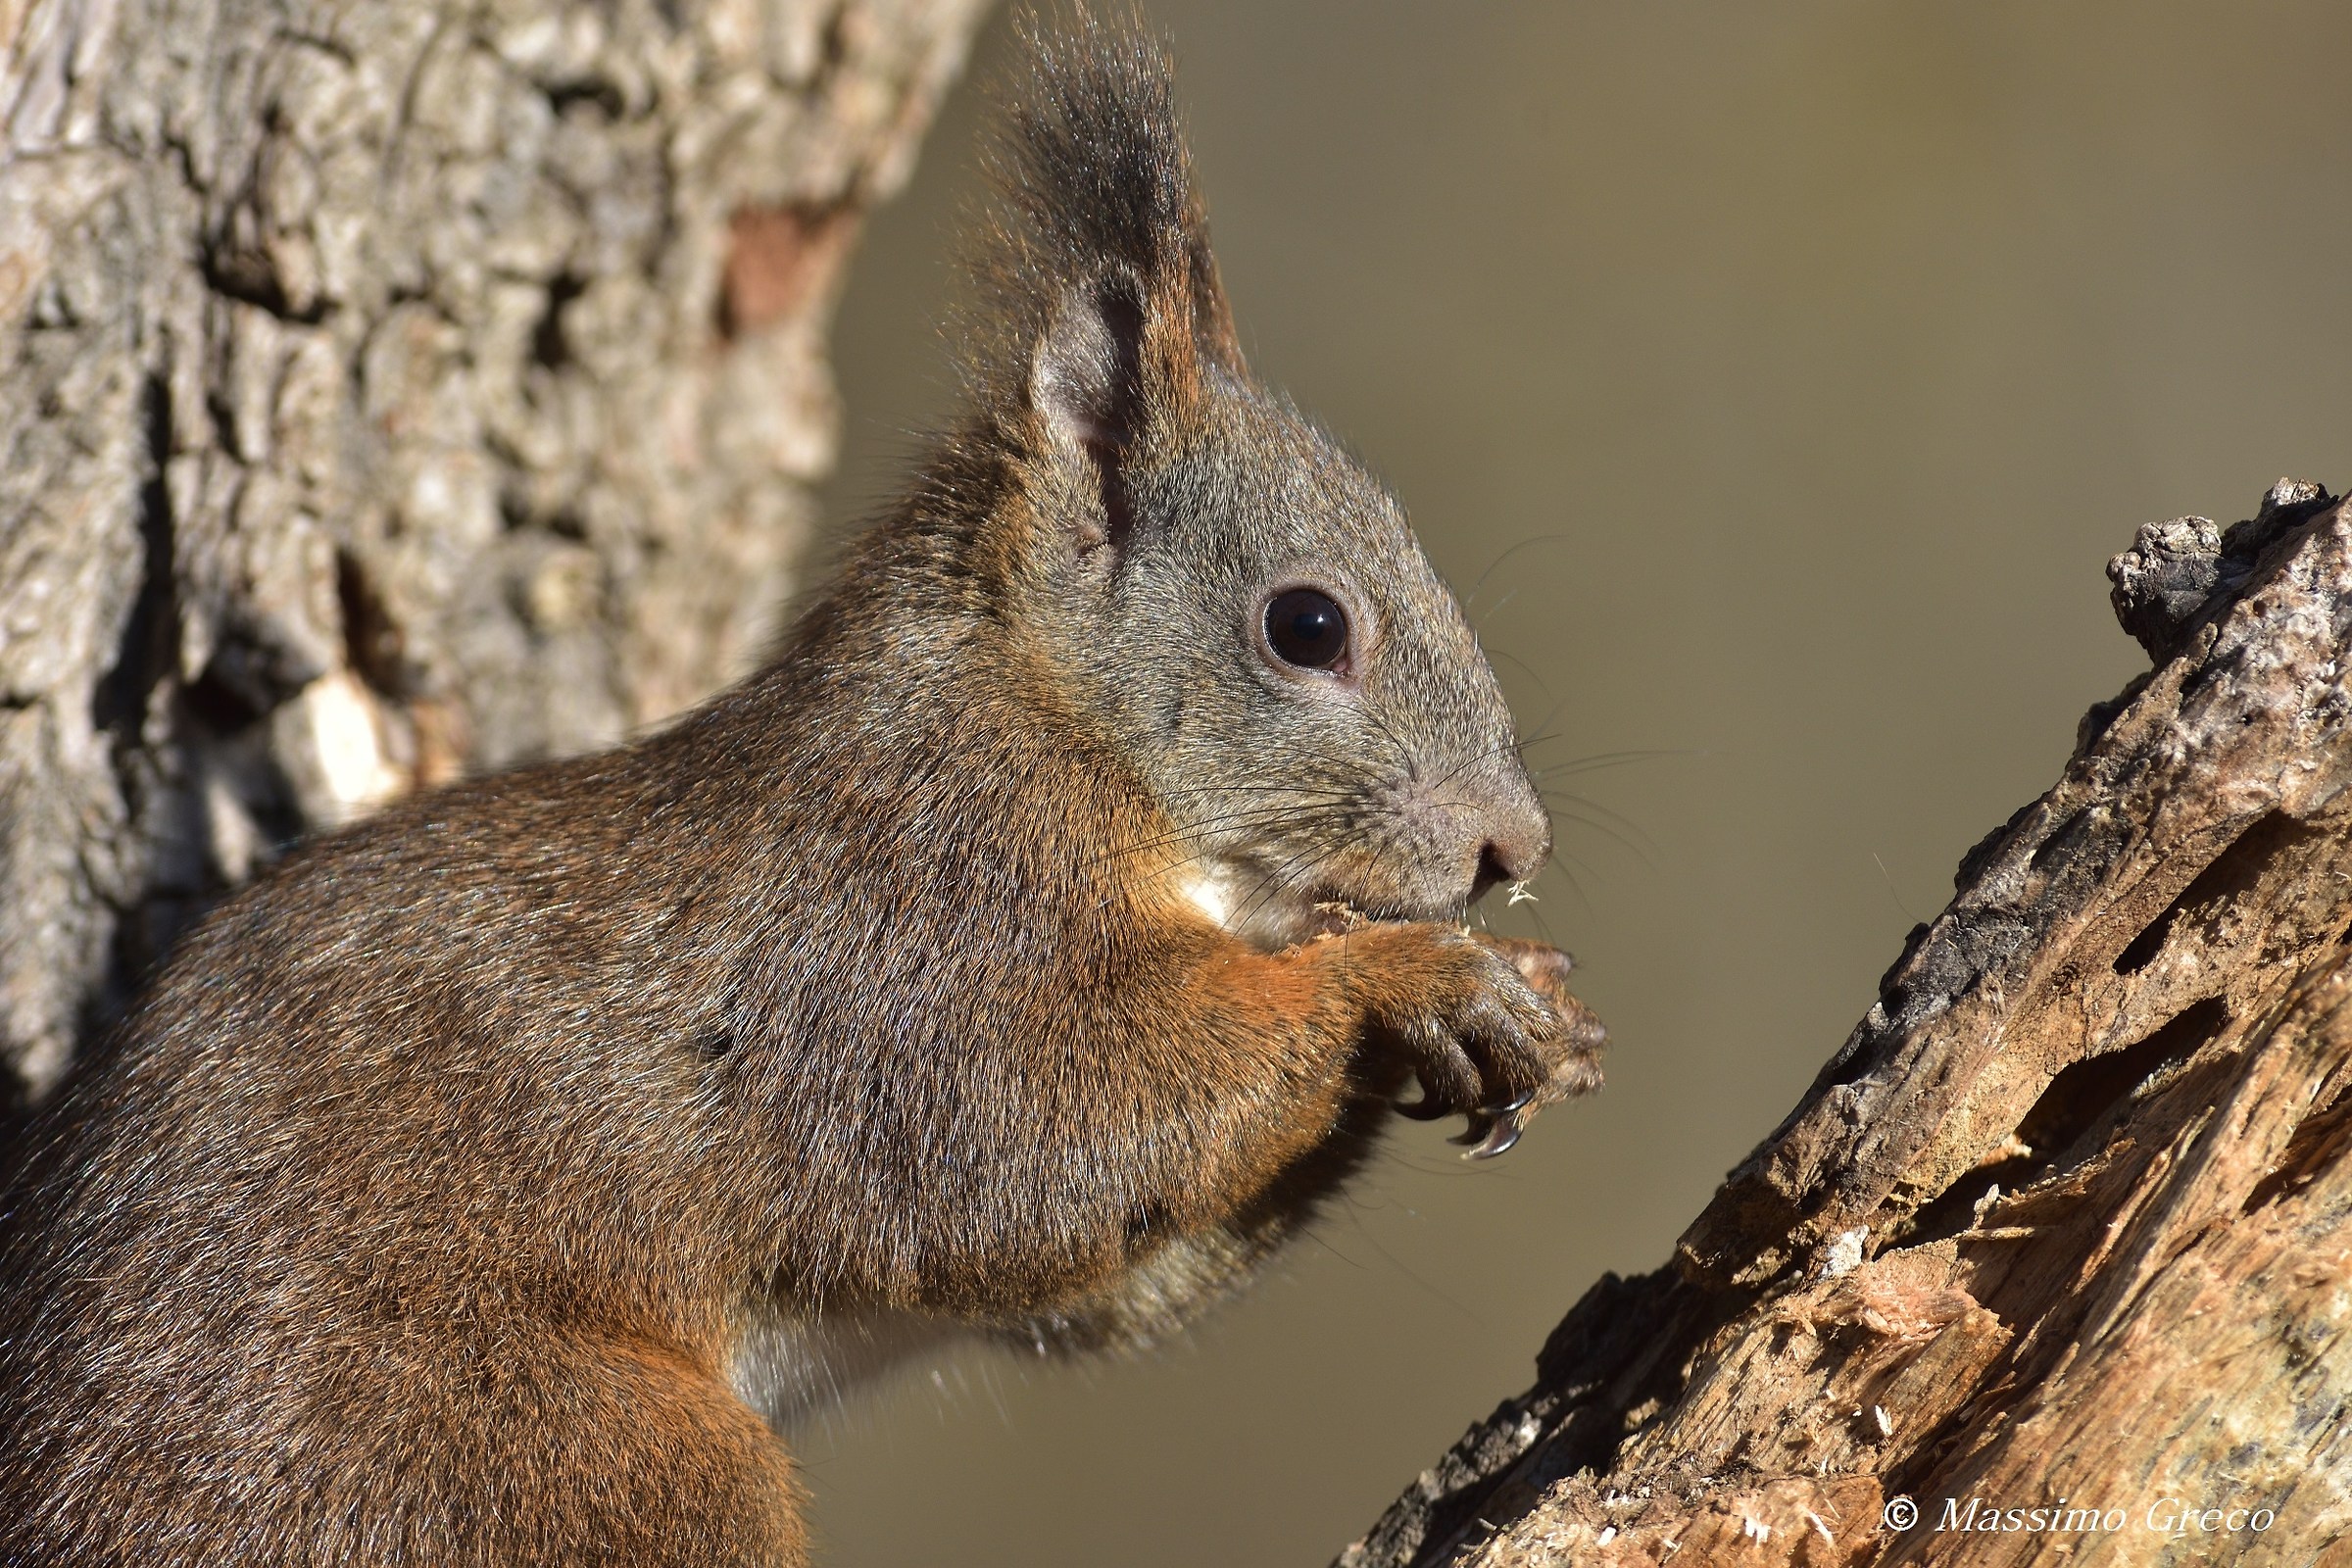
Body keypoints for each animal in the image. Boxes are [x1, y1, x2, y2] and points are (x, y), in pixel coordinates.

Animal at [0, 15, 1603, 1567]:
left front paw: (1528, 1000)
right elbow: (1036, 1132)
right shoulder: (906, 910)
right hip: (538, 1468)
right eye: (1308, 626)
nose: (1508, 845)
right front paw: (1411, 978)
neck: (1057, 720)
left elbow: (1104, 1270)